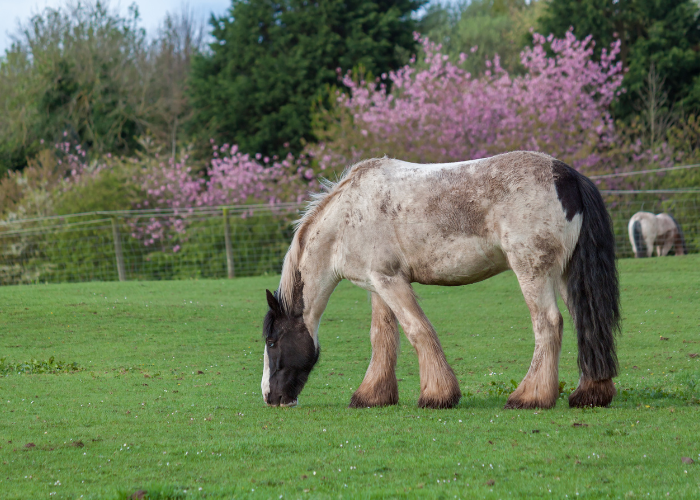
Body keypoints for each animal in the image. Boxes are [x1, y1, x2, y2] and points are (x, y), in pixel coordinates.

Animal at [262, 151, 621, 410]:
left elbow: (417, 331)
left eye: (272, 341)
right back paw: (590, 394)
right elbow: (382, 337)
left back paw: (530, 397)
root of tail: (568, 176)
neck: (347, 216)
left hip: (532, 271)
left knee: (548, 324)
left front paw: (437, 395)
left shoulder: (389, 280)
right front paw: (372, 395)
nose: (269, 396)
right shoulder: (379, 284)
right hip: (564, 275)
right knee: (586, 323)